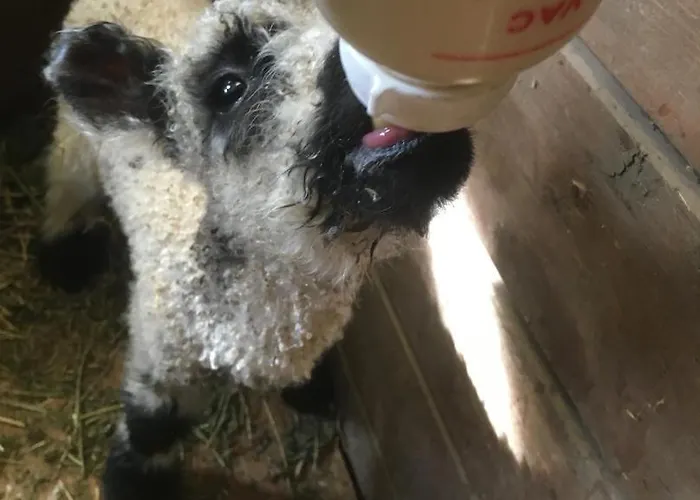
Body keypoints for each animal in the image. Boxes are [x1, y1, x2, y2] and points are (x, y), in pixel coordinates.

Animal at [39, 1, 475, 498]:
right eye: (229, 88)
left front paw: (314, 394)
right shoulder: (163, 351)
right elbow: (153, 426)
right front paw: (132, 481)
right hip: (74, 145)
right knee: (64, 185)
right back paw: (66, 260)